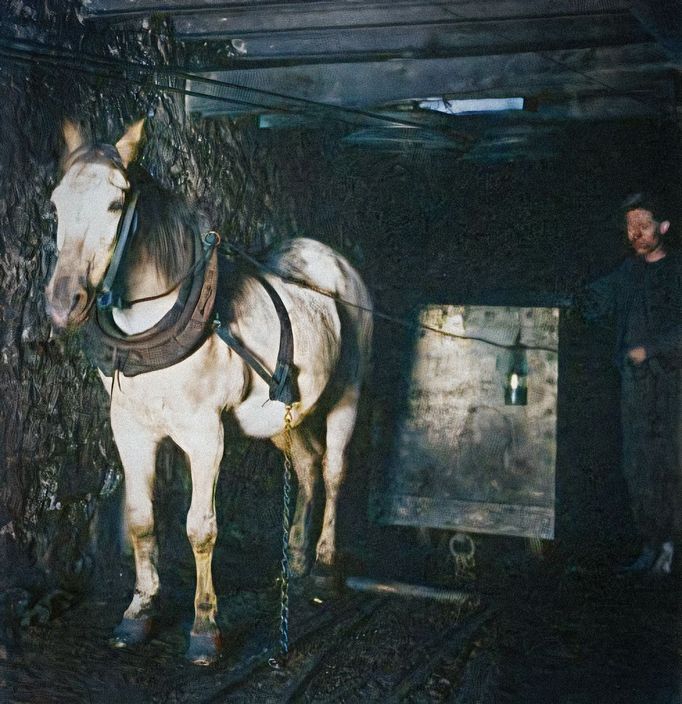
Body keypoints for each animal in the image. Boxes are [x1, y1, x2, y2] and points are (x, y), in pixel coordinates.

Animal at [43, 121, 372, 664]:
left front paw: (203, 627)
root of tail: (331, 260)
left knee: (334, 469)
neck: (153, 322)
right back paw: (296, 559)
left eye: (116, 203)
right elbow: (141, 520)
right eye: (54, 203)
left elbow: (200, 527)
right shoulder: (130, 430)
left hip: (348, 391)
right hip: (281, 413)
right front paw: (139, 612)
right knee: (306, 465)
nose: (62, 304)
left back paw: (325, 566)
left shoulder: (205, 435)